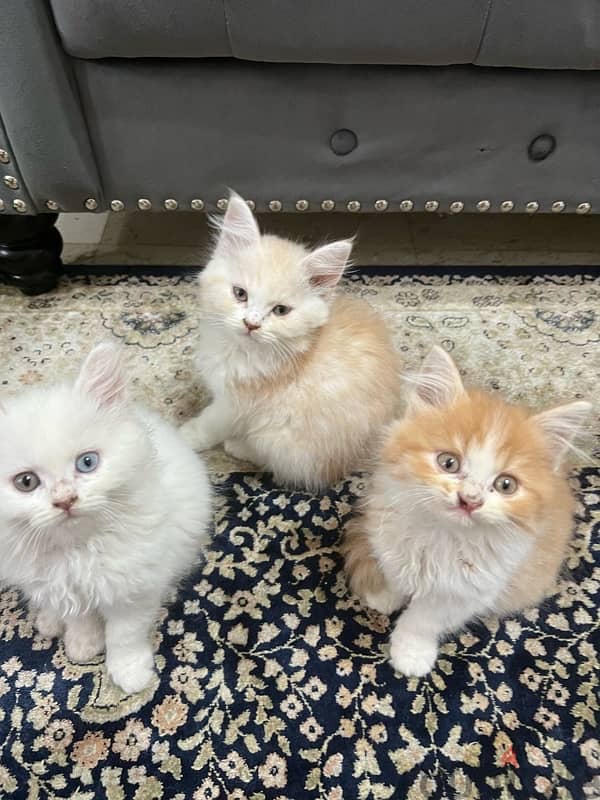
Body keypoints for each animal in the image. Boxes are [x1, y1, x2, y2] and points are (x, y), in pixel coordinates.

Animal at [0, 344, 212, 692]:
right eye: (26, 482)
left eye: (87, 463)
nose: (65, 500)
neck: (78, 550)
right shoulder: (62, 587)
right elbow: (79, 618)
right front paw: (83, 644)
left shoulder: (134, 588)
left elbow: (124, 635)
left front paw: (130, 672)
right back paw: (48, 620)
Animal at [180, 195, 400, 494]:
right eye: (240, 294)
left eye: (281, 310)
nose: (251, 324)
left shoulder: (237, 404)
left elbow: (209, 425)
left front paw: (181, 437)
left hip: (284, 437)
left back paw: (239, 447)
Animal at [342, 346, 592, 680]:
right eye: (449, 462)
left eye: (505, 484)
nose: (469, 500)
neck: (441, 536)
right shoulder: (388, 536)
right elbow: (393, 571)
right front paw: (385, 593)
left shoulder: (470, 590)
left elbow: (422, 620)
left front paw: (410, 653)